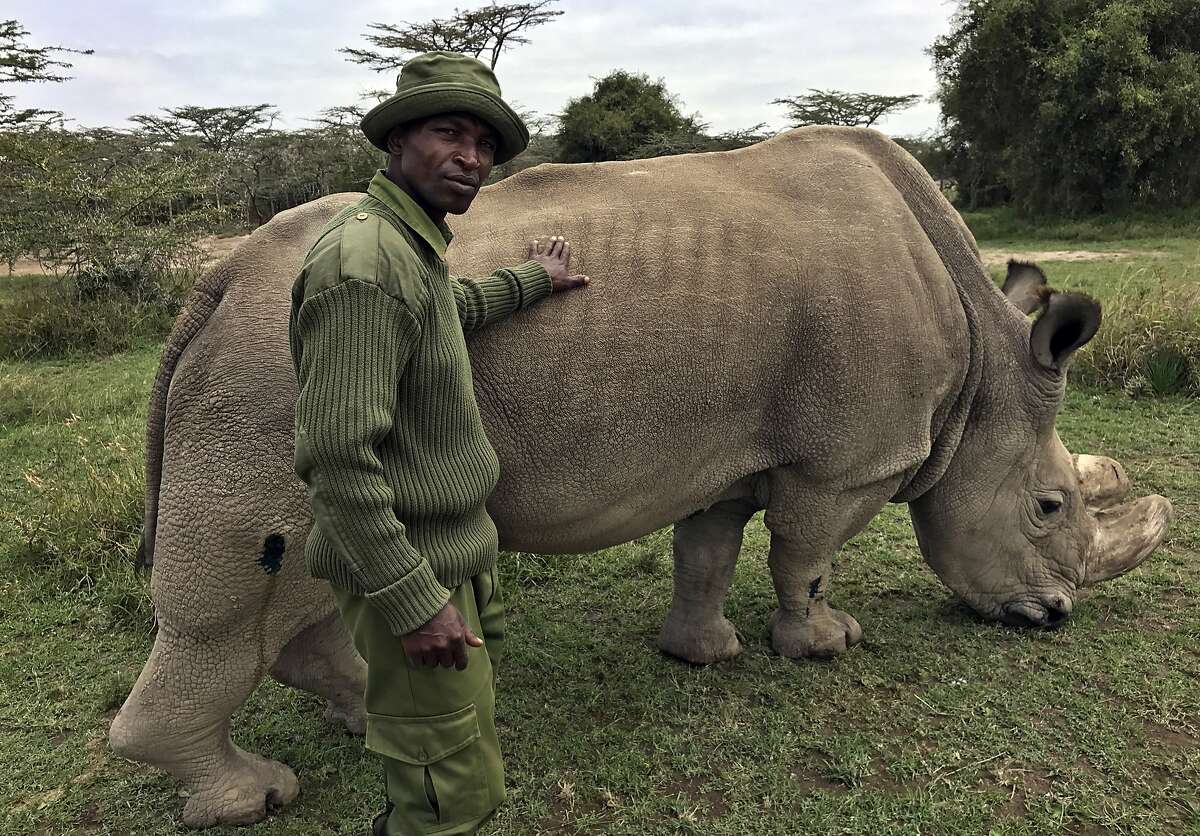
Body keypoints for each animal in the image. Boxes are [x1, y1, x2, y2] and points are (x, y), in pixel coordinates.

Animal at [108, 127, 1176, 825]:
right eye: (1049, 506)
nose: (1055, 617)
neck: (985, 373)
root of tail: (216, 282)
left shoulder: (730, 449)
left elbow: (707, 550)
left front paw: (704, 654)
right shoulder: (846, 460)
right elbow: (806, 555)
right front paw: (825, 644)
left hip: (264, 371)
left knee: (314, 582)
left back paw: (365, 705)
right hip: (269, 378)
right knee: (248, 589)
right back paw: (256, 795)